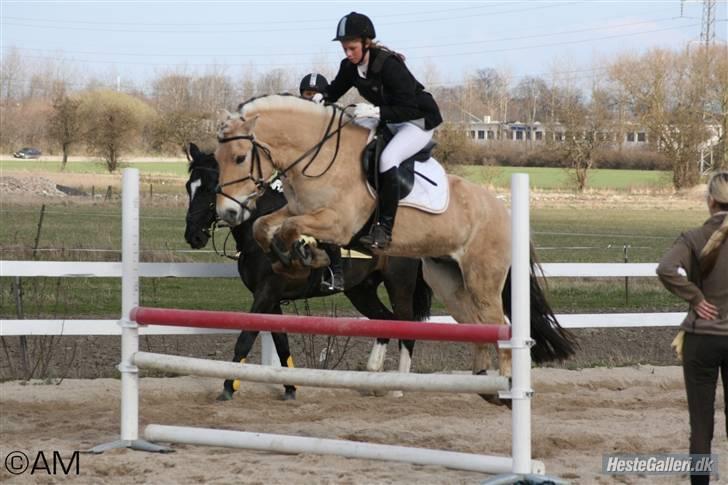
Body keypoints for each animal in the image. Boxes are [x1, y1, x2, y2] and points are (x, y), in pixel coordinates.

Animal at [185, 144, 432, 400]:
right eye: (188, 187)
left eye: (210, 188)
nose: (193, 235)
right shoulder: (271, 299)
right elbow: (281, 342)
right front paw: (290, 388)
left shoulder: (267, 293)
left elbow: (245, 338)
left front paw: (227, 387)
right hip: (360, 290)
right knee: (384, 320)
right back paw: (373, 374)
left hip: (399, 286)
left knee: (406, 330)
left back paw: (398, 388)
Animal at [213, 94, 576, 394]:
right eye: (216, 159)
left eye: (241, 157)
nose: (228, 212)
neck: (319, 158)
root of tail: (505, 212)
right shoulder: (298, 211)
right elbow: (264, 226)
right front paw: (291, 258)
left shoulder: (337, 223)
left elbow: (290, 229)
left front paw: (306, 256)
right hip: (448, 282)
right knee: (475, 325)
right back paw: (481, 383)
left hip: (477, 279)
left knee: (495, 324)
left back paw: (500, 387)